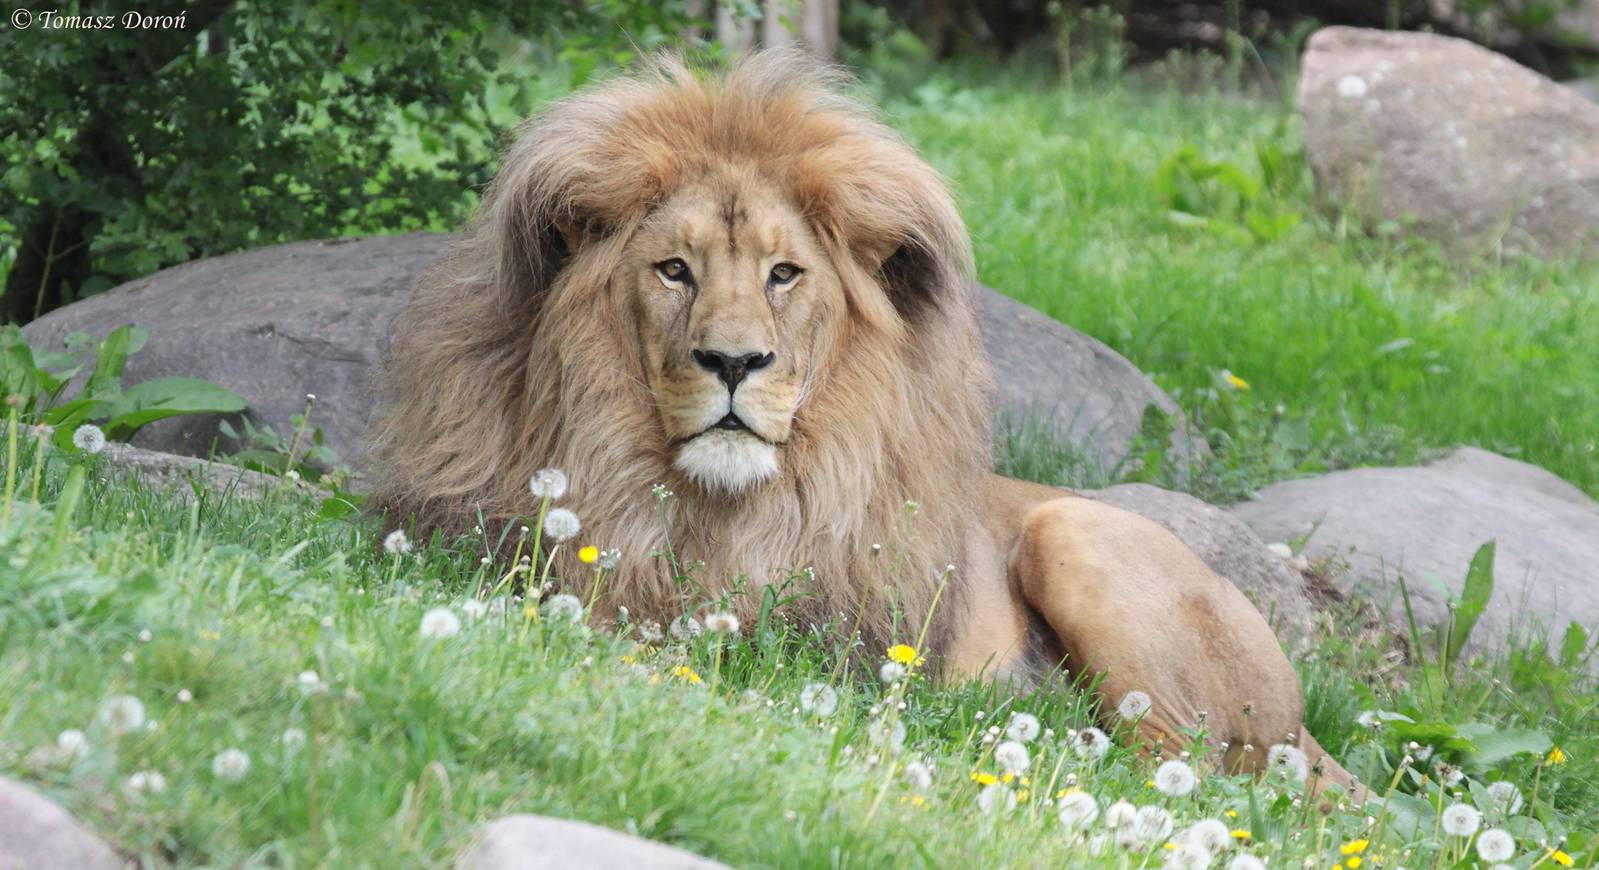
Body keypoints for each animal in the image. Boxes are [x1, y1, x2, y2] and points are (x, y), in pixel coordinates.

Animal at [369, 49, 1357, 792]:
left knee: (1188, 773)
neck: (713, 509)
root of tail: (1308, 729)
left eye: (783, 274)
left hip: (1074, 536)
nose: (734, 363)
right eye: (674, 270)